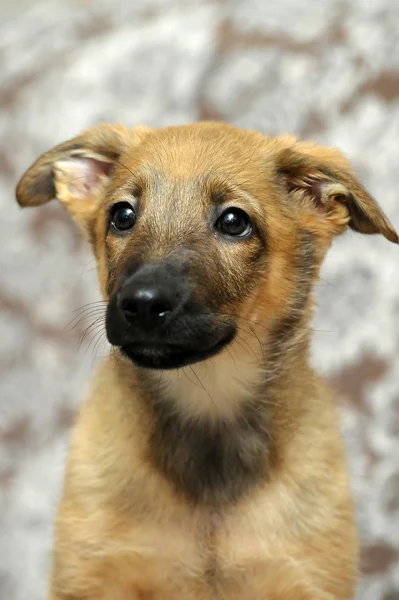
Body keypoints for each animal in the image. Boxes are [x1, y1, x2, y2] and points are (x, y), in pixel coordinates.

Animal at [16, 123, 399, 600]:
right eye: (122, 215)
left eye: (234, 222)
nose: (142, 305)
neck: (209, 401)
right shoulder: (94, 574)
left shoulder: (303, 577)